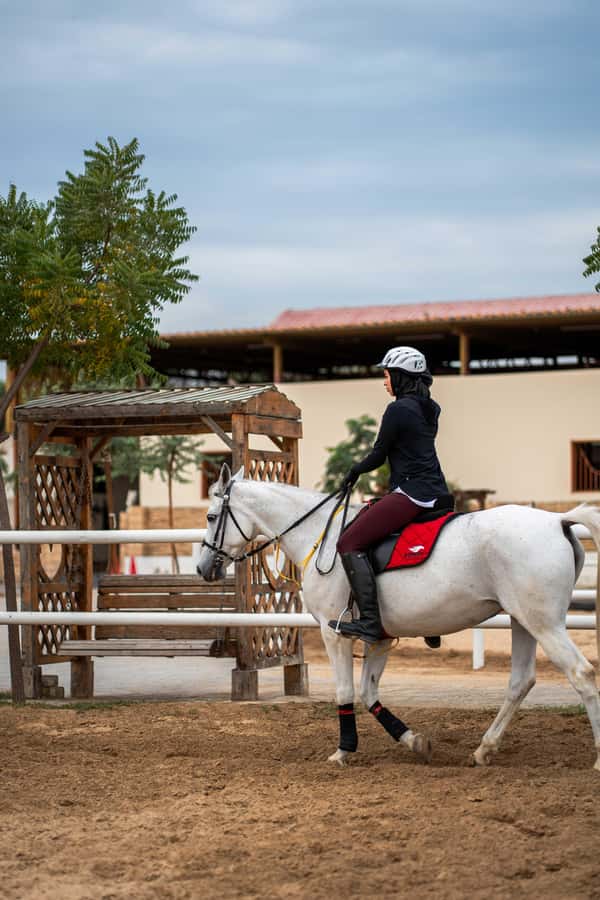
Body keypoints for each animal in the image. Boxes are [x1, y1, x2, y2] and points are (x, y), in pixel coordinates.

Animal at [197, 465, 600, 772]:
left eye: (212, 516)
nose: (203, 568)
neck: (319, 534)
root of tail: (557, 521)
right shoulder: (381, 637)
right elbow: (368, 691)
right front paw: (414, 741)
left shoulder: (334, 633)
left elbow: (345, 691)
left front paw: (343, 750)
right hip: (523, 621)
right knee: (520, 682)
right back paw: (484, 749)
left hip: (544, 623)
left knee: (581, 674)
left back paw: (595, 759)